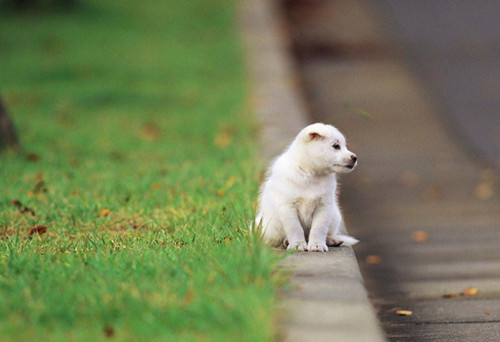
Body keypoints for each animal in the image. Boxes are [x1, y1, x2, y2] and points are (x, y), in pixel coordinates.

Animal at [254, 123, 360, 251]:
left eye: (345, 146)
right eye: (336, 146)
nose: (355, 157)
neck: (310, 174)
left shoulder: (323, 207)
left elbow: (319, 229)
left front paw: (317, 245)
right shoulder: (288, 207)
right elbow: (295, 228)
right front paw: (297, 244)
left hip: (335, 216)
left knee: (327, 233)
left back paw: (333, 240)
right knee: (275, 240)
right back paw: (285, 242)